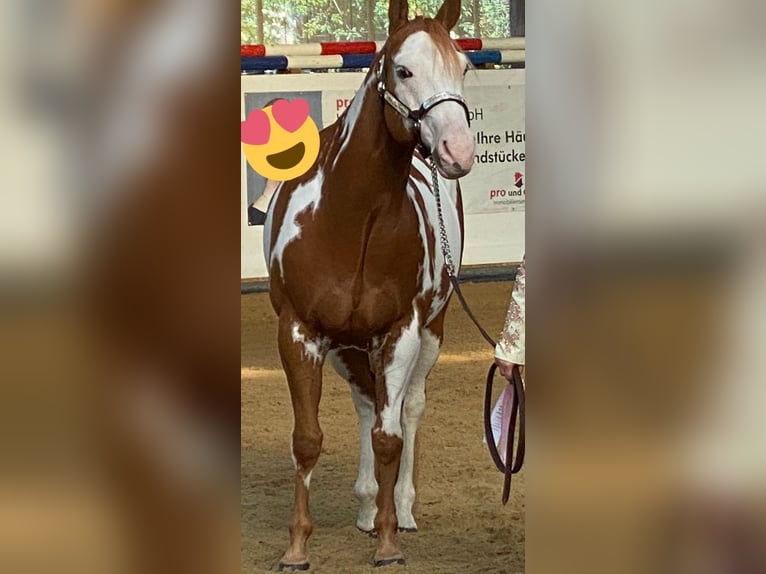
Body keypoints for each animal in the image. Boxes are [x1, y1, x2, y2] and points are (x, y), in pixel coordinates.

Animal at [268, 0, 476, 568]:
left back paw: (398, 509)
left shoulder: (401, 332)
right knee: (365, 402)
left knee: (408, 409)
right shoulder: (300, 332)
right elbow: (307, 439)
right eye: (402, 70)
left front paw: (386, 541)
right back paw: (364, 506)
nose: (457, 149)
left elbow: (390, 437)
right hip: (347, 346)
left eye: (463, 68)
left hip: (430, 332)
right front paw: (296, 547)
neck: (351, 218)